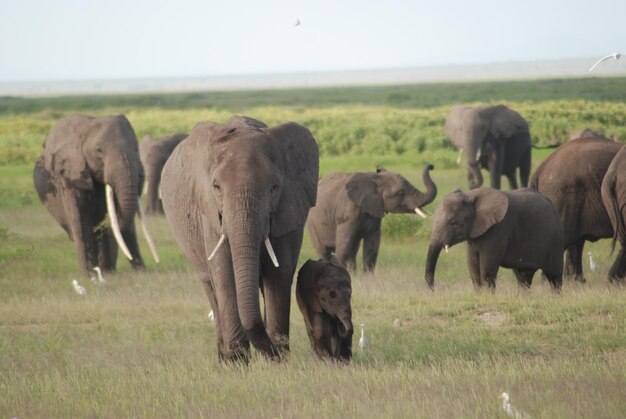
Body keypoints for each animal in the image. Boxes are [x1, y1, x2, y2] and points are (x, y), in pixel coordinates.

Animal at [33, 116, 160, 278]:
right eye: (99, 151)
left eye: (136, 149)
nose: (144, 270)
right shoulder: (70, 176)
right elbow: (80, 221)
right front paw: (90, 277)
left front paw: (108, 274)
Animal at [161, 114, 316, 360]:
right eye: (216, 187)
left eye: (274, 187)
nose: (274, 351)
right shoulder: (210, 214)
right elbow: (223, 273)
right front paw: (238, 360)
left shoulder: (289, 207)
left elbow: (280, 273)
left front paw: (278, 358)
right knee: (210, 285)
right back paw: (225, 357)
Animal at [306, 164, 434, 272]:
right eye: (400, 193)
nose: (431, 166)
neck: (374, 179)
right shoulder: (347, 210)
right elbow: (344, 248)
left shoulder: (374, 210)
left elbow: (372, 246)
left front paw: (365, 276)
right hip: (311, 222)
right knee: (324, 251)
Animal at [424, 189, 560, 292]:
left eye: (454, 223)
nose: (433, 291)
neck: (471, 195)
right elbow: (473, 267)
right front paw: (479, 295)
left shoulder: (498, 229)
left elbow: (487, 270)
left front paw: (488, 296)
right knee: (523, 276)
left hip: (554, 238)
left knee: (554, 275)